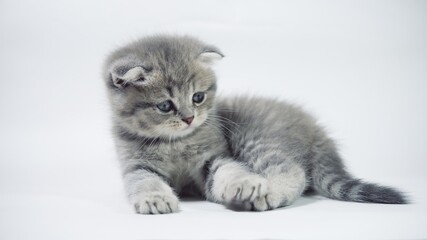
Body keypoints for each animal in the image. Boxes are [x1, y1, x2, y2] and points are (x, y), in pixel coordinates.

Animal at [103, 34, 408, 214]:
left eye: (198, 97)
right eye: (165, 106)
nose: (189, 118)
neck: (175, 143)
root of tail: (316, 130)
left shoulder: (214, 157)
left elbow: (229, 169)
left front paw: (244, 183)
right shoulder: (135, 166)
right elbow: (143, 181)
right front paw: (154, 198)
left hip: (255, 137)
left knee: (293, 171)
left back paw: (267, 194)